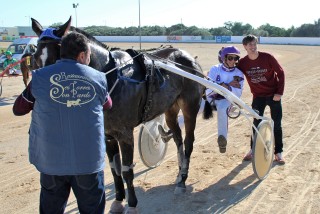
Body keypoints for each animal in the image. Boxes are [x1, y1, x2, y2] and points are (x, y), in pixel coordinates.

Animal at [28, 16, 206, 212]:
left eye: (57, 58)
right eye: (35, 59)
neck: (110, 77)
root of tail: (189, 58)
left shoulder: (124, 134)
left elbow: (127, 170)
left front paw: (132, 204)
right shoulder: (107, 135)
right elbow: (115, 169)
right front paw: (119, 200)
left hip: (190, 107)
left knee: (188, 142)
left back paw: (182, 180)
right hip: (170, 108)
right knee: (178, 138)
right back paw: (179, 174)